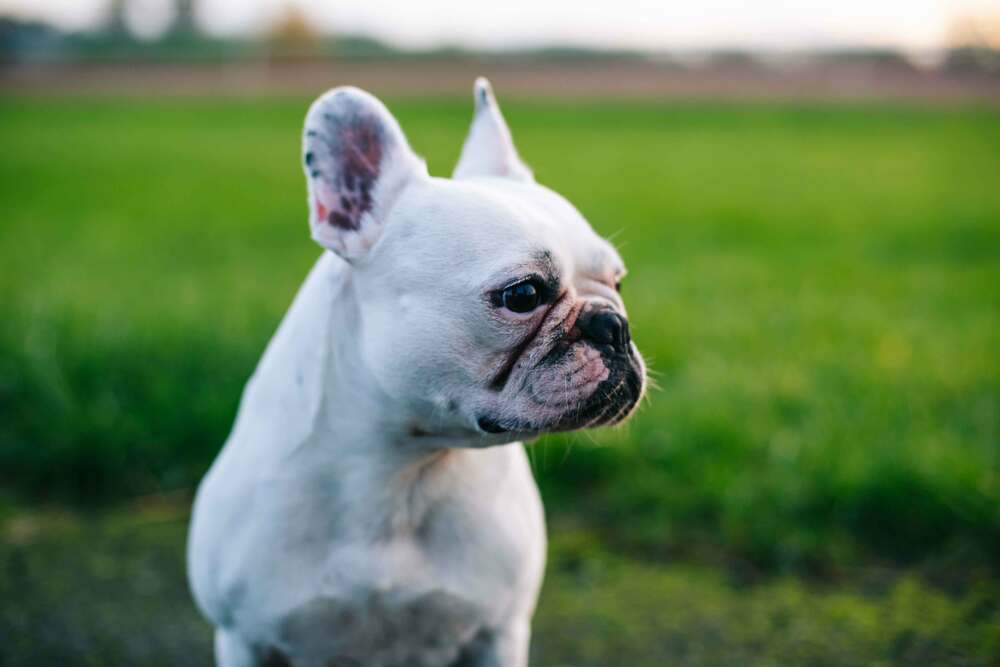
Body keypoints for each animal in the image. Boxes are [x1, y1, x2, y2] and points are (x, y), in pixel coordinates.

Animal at [188, 79, 644, 667]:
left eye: (618, 281)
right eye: (523, 294)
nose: (614, 325)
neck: (402, 469)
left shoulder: (499, 633)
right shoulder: (242, 637)